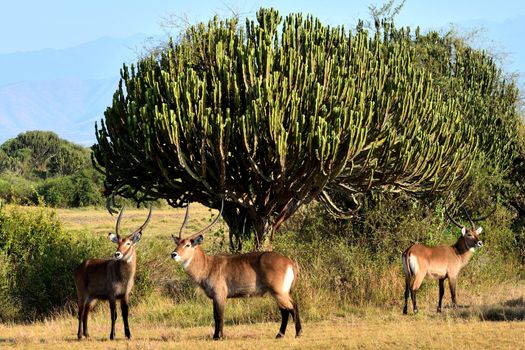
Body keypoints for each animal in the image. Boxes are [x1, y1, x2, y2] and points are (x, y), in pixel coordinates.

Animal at [71, 206, 151, 340]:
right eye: (118, 242)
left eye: (128, 243)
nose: (117, 254)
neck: (123, 277)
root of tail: (81, 266)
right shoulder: (112, 296)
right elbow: (114, 315)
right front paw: (112, 335)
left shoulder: (125, 295)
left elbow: (125, 314)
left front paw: (128, 335)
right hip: (82, 294)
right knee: (80, 312)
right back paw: (79, 335)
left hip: (92, 298)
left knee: (86, 312)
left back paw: (87, 334)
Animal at [170, 201, 300, 340]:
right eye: (178, 243)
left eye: (187, 244)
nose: (173, 254)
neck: (208, 265)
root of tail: (289, 262)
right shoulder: (216, 298)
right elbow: (216, 316)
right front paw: (216, 336)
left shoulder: (220, 295)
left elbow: (219, 316)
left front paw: (218, 337)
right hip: (278, 293)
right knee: (285, 311)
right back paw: (279, 335)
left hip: (279, 292)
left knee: (292, 306)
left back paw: (298, 333)